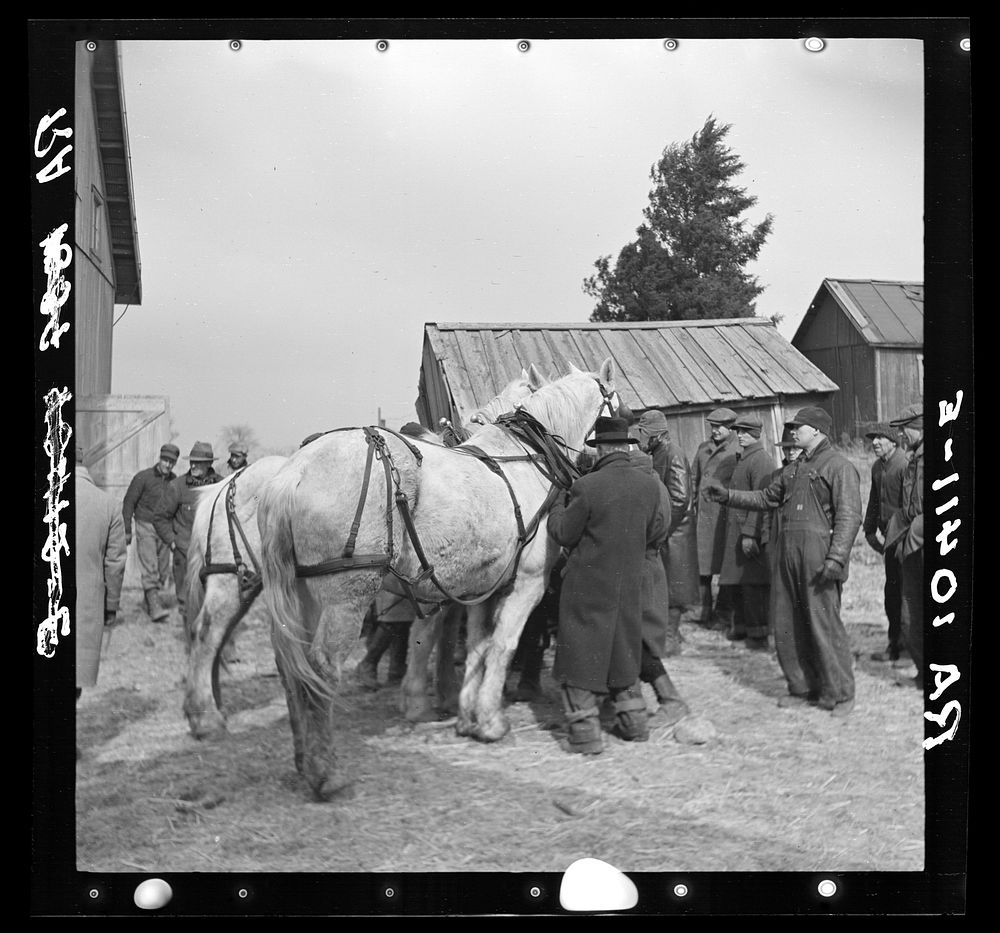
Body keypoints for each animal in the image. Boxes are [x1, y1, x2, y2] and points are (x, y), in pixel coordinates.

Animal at [181, 368, 544, 740]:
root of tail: (223, 486)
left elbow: (442, 637)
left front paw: (445, 695)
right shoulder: (442, 587)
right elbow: (431, 636)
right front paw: (428, 701)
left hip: (252, 583)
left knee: (216, 638)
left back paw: (210, 707)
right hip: (235, 579)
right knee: (208, 634)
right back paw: (206, 718)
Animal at [258, 360, 616, 796]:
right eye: (618, 402)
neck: (526, 459)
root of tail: (292, 473)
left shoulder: (480, 588)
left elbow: (476, 645)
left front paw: (466, 715)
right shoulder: (526, 584)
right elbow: (501, 646)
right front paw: (488, 721)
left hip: (301, 593)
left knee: (290, 667)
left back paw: (302, 760)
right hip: (347, 595)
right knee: (322, 667)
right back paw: (327, 774)